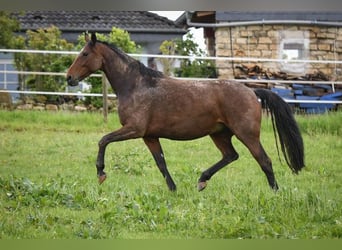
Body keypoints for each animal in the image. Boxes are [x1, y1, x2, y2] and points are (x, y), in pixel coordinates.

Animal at [67, 33, 304, 192]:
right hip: (219, 134)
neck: (136, 85)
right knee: (231, 155)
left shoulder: (134, 129)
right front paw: (173, 189)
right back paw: (202, 180)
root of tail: (251, 91)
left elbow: (103, 140)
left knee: (264, 161)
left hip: (247, 134)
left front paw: (101, 174)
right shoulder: (149, 136)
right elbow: (161, 163)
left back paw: (275, 192)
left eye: (85, 53)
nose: (69, 78)